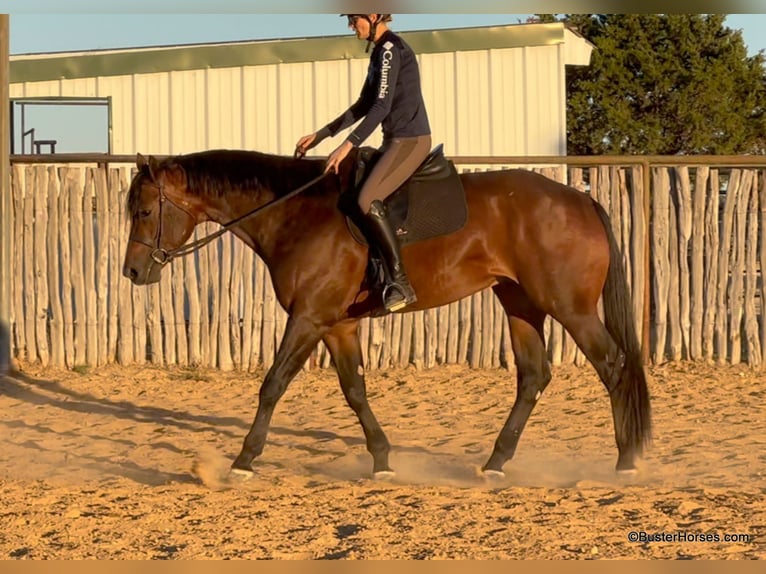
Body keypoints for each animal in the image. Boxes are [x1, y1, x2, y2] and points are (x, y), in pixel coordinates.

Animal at [123, 148, 652, 482]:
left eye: (145, 212)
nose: (132, 271)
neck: (296, 213)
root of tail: (580, 198)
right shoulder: (337, 325)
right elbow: (354, 390)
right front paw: (381, 460)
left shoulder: (308, 318)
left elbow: (272, 384)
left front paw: (243, 460)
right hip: (520, 303)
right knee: (533, 376)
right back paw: (496, 462)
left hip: (570, 307)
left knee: (613, 366)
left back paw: (626, 462)